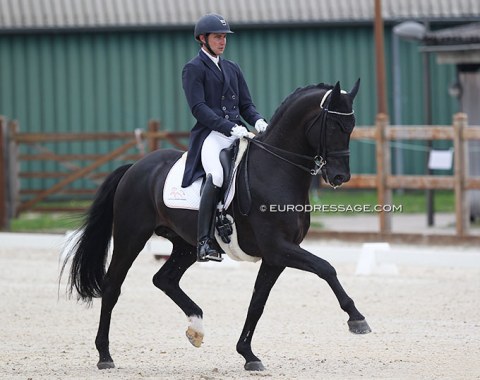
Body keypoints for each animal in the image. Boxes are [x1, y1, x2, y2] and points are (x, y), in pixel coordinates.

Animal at [62, 78, 372, 372]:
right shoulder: (278, 248)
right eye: (334, 126)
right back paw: (105, 355)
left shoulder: (275, 257)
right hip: (131, 236)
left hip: (186, 245)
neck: (276, 170)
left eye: (351, 126)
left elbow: (257, 302)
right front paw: (357, 319)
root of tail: (136, 167)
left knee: (164, 279)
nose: (340, 177)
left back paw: (196, 328)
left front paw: (248, 355)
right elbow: (326, 268)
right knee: (112, 286)